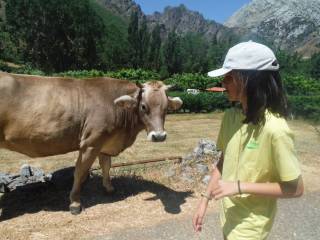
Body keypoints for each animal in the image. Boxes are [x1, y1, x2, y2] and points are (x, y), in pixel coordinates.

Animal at [0, 72, 182, 215]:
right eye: (144, 106)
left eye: (166, 108)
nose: (159, 136)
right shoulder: (90, 143)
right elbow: (80, 172)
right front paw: (75, 203)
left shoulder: (105, 143)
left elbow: (106, 165)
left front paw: (109, 188)